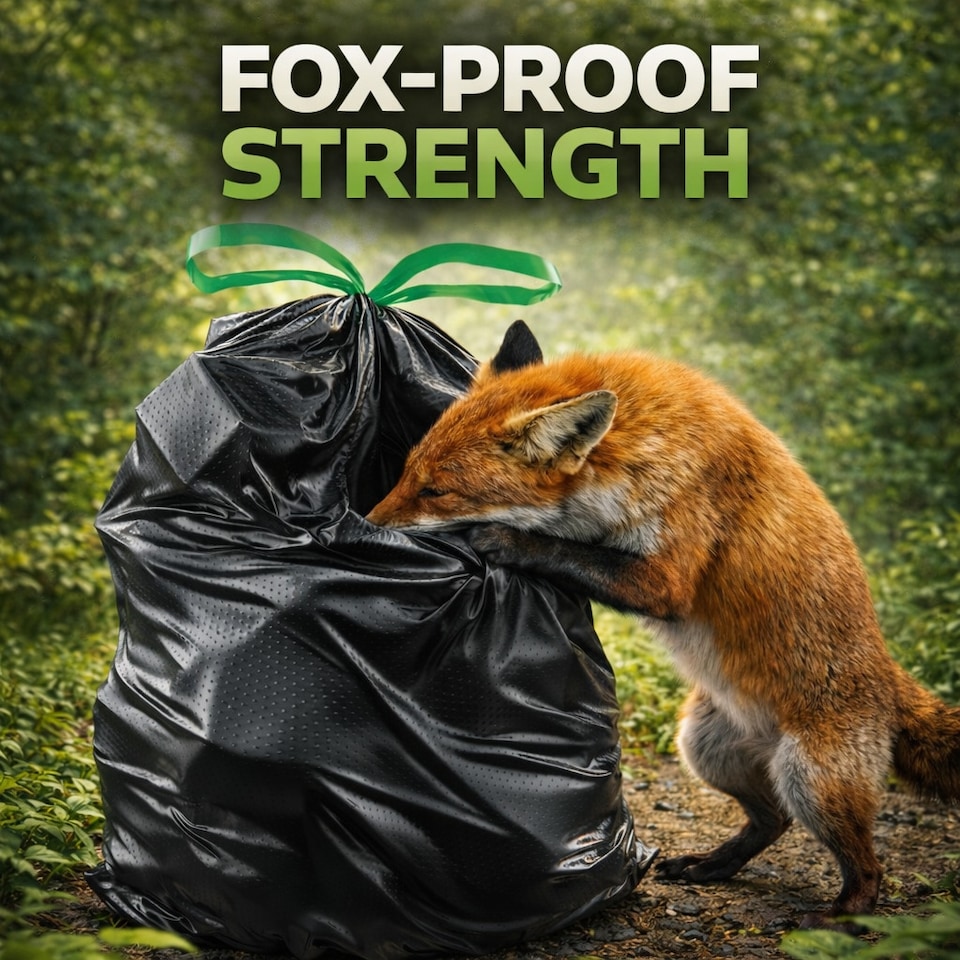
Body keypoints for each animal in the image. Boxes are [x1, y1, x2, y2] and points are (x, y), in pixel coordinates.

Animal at [365, 320, 960, 928]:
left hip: (811, 779)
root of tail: (890, 678)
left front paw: (498, 541)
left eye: (436, 491)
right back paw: (715, 864)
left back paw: (842, 914)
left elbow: (560, 549)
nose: (365, 523)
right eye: (407, 472)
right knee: (772, 819)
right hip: (705, 748)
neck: (635, 448)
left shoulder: (667, 576)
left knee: (867, 865)